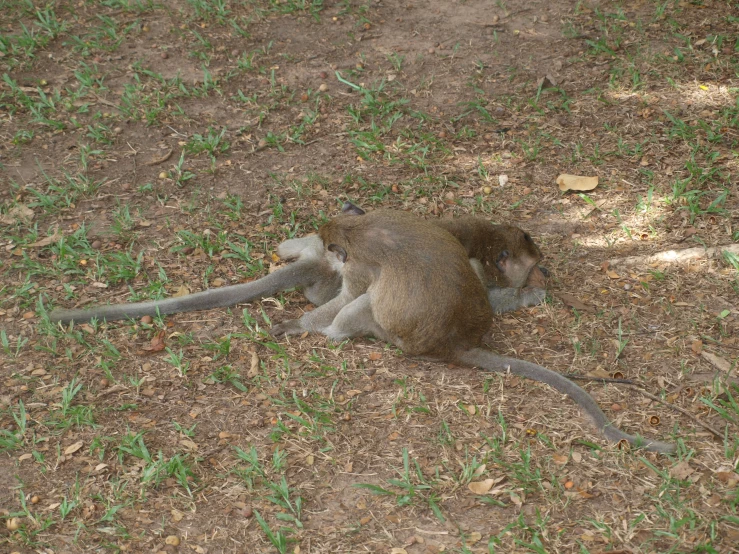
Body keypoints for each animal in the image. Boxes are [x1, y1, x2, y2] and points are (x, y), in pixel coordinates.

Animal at [270, 209, 676, 450]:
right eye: (535, 265)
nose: (544, 273)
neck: (359, 228)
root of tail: (454, 344)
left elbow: (350, 295)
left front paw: (297, 323)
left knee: (362, 303)